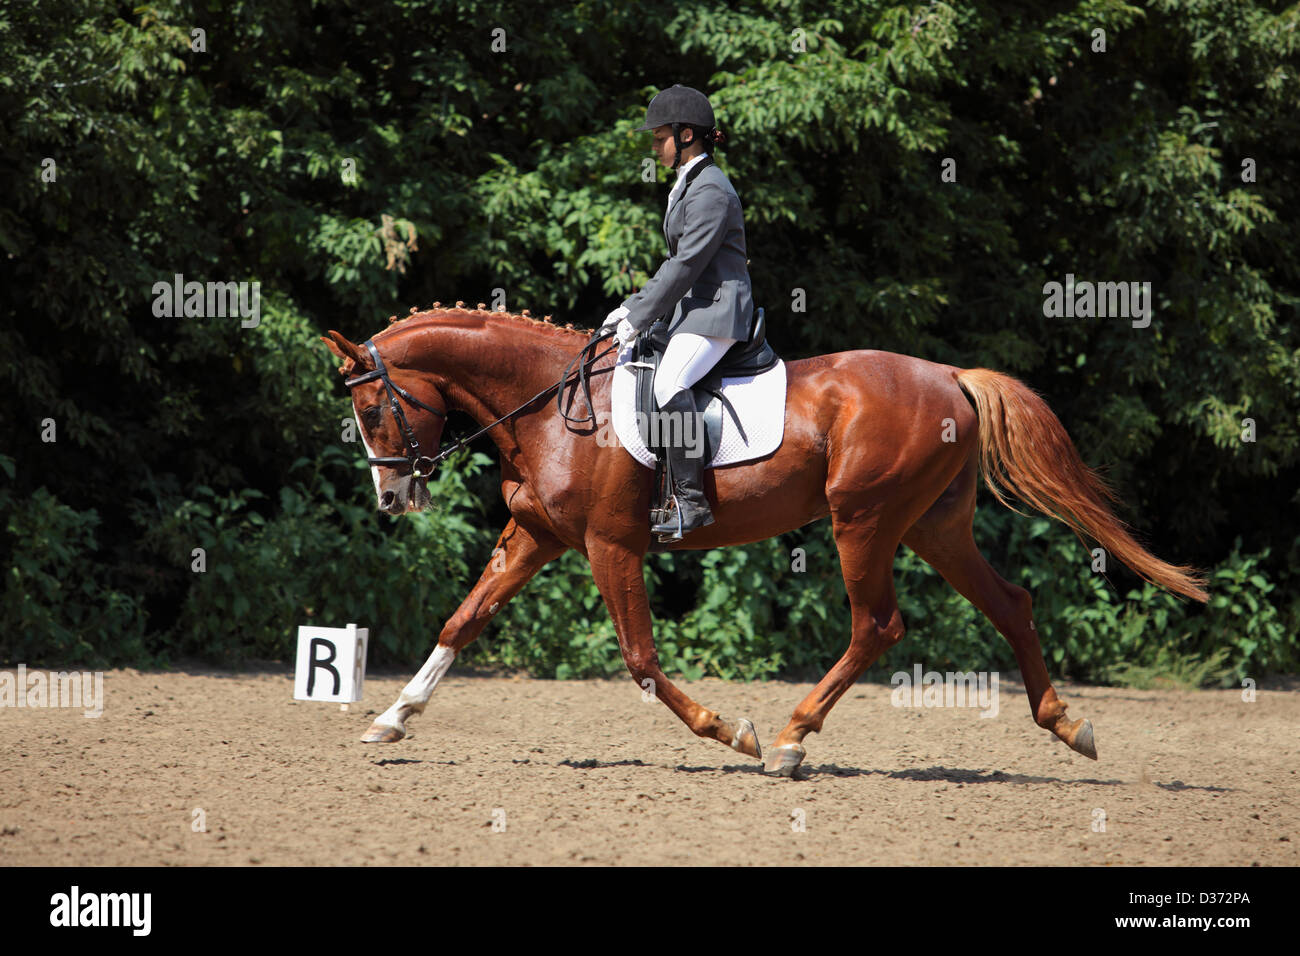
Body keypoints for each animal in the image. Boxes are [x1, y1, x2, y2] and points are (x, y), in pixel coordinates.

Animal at [317, 306, 1206, 780]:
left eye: (374, 412)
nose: (393, 498)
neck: (549, 406)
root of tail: (950, 376)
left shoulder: (611, 545)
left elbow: (640, 660)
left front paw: (731, 732)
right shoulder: (536, 536)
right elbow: (462, 622)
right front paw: (390, 718)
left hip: (863, 522)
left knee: (877, 625)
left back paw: (786, 740)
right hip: (934, 526)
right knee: (1010, 604)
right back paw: (1066, 724)